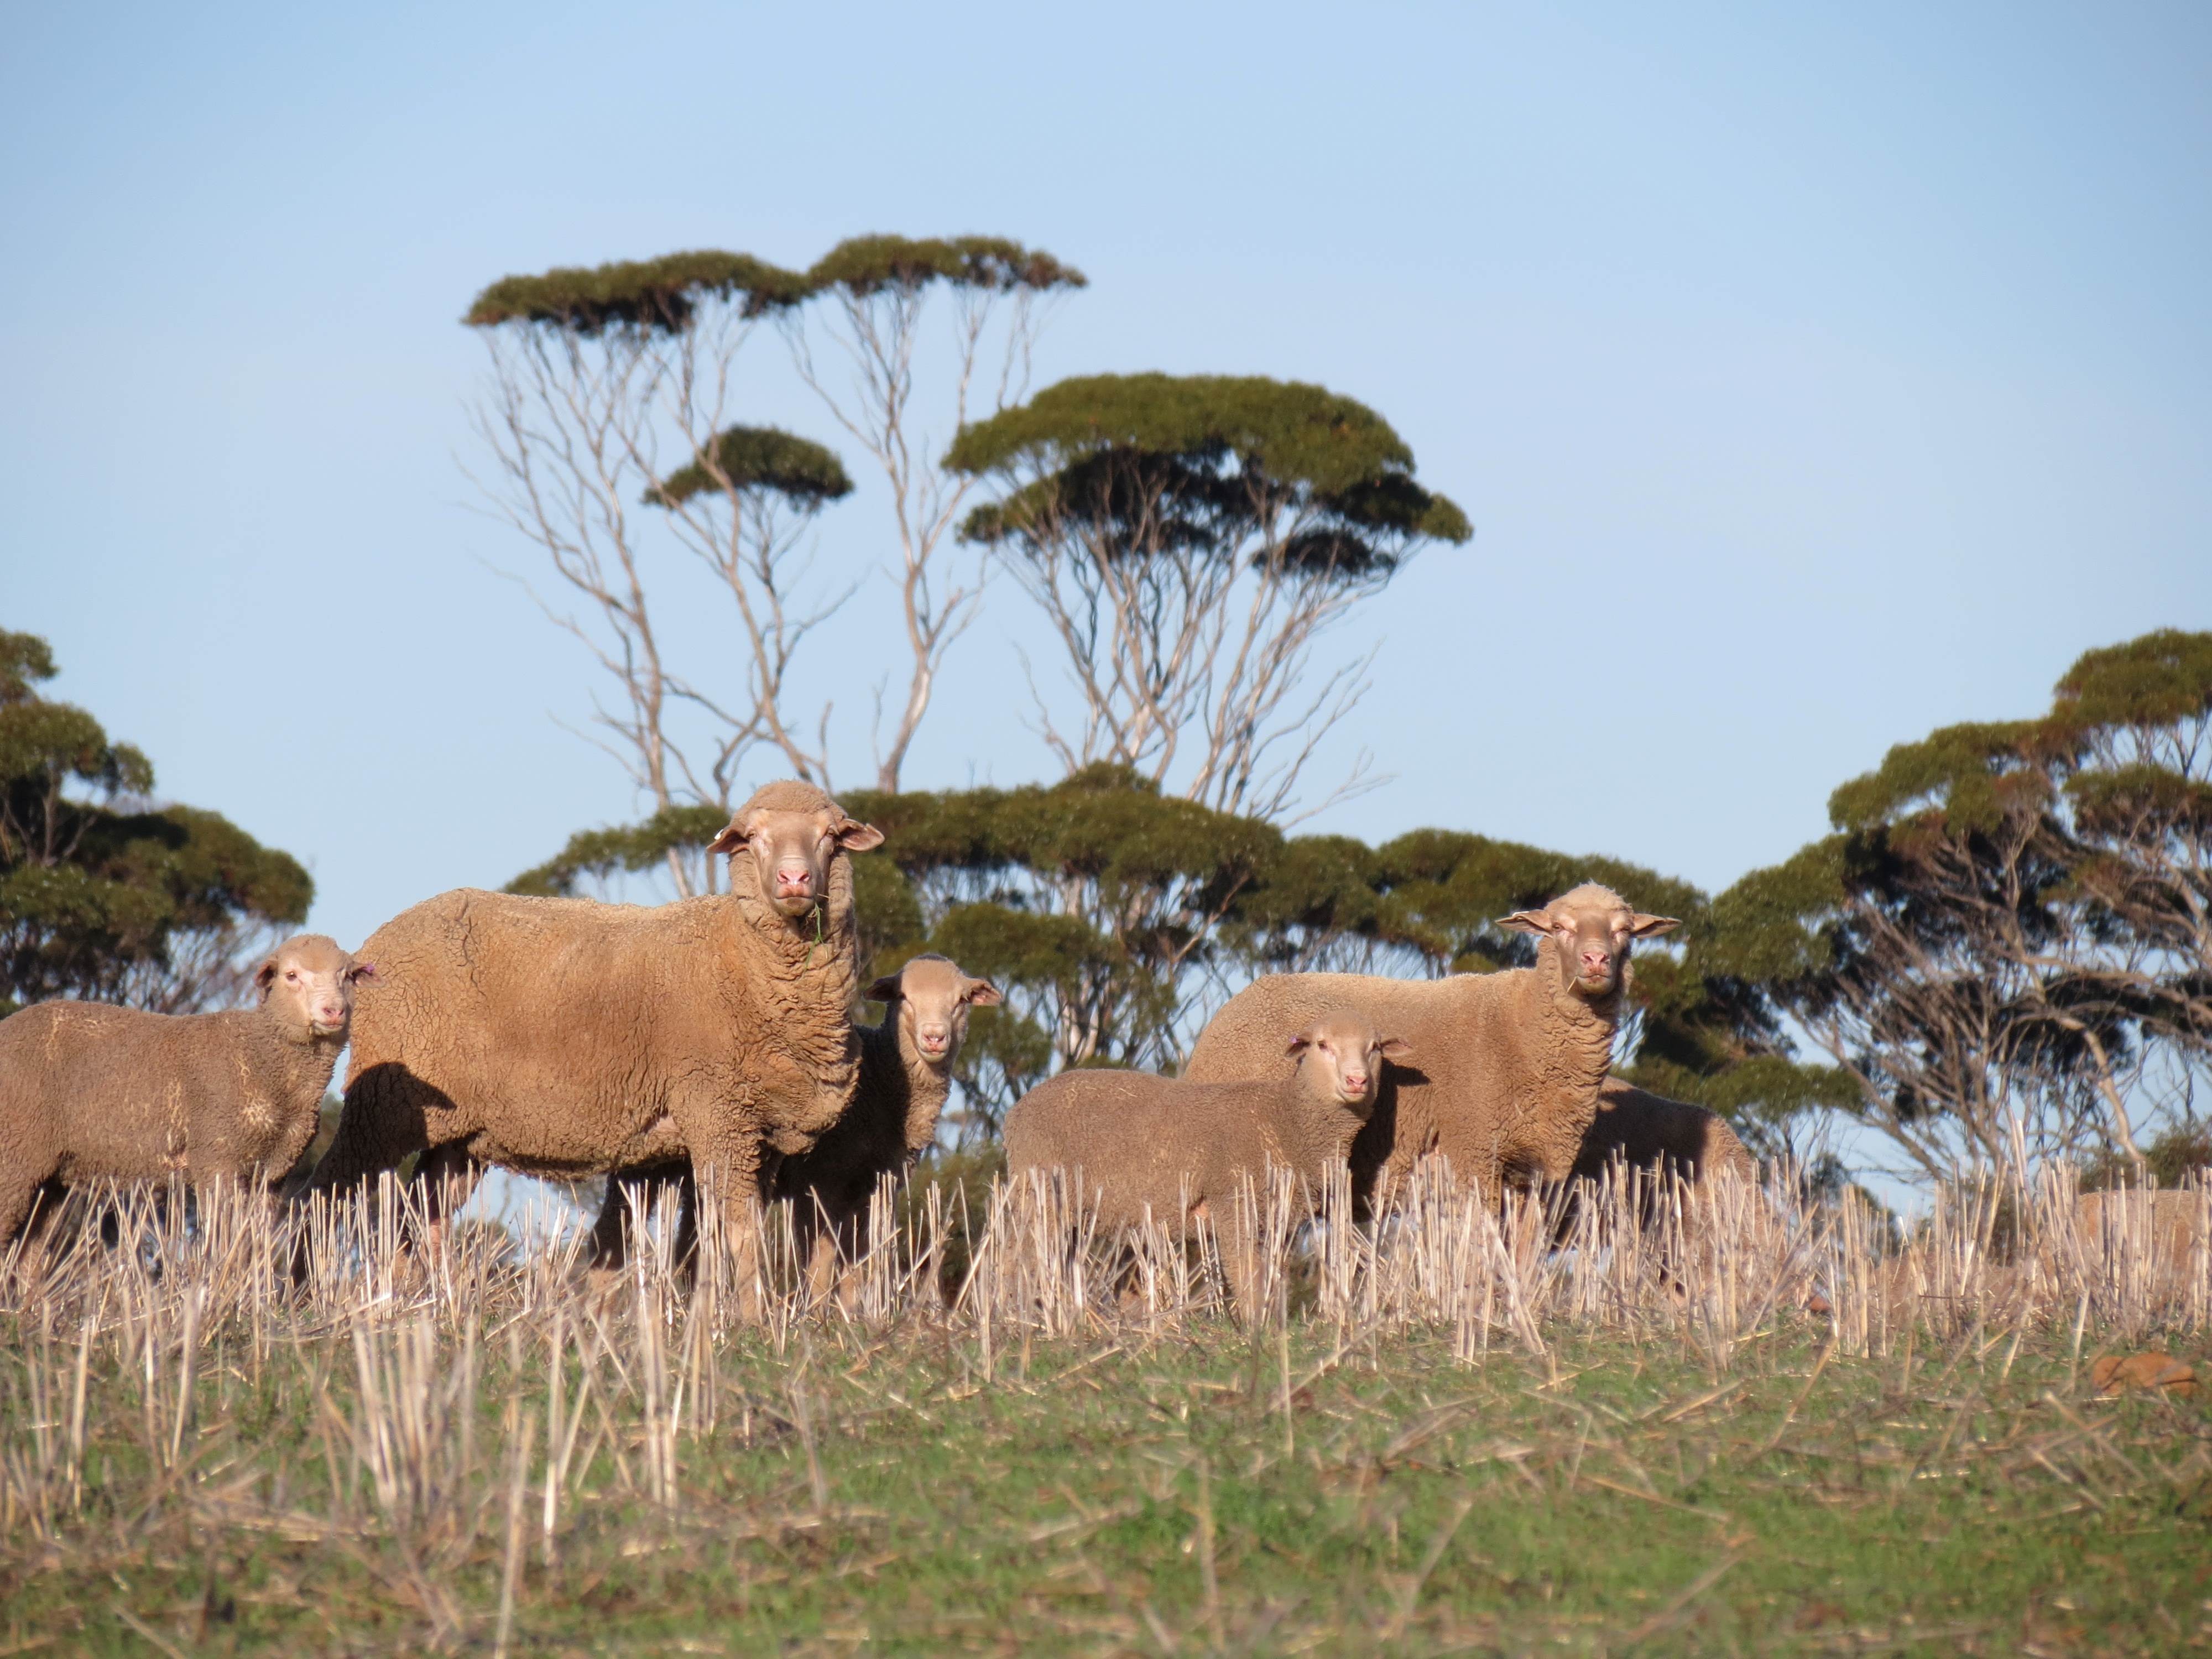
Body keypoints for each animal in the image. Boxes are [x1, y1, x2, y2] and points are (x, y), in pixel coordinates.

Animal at [0, 934, 370, 1259]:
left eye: (346, 976)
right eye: (292, 975)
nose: (333, 1011)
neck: (262, 1057)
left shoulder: (272, 1174)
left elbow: (253, 1243)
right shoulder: (216, 1155)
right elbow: (224, 1236)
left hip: (49, 1176)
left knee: (28, 1253)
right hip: (15, 1153)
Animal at [303, 780, 883, 1308]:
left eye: (829, 836)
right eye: (755, 837)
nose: (794, 879)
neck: (744, 960)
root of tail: (374, 945)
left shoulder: (759, 1135)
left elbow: (702, 1240)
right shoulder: (721, 1117)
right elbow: (740, 1235)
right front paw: (748, 1320)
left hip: (460, 1135)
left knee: (419, 1217)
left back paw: (416, 1305)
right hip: (384, 1105)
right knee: (321, 1193)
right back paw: (304, 1291)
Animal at [590, 953, 1002, 1301]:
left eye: (961, 1001)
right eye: (904, 998)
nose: (935, 1037)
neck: (883, 1082)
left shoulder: (873, 1189)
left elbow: (857, 1264)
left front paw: (853, 1318)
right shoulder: (818, 1183)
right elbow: (820, 1263)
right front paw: (816, 1316)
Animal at [1004, 1009, 1408, 1311]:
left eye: (1375, 1048)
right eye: (1323, 1045)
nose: (1356, 1081)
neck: (1286, 1117)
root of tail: (1017, 1111)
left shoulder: (1279, 1220)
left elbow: (1272, 1278)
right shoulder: (1235, 1205)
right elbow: (1247, 1277)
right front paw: (1256, 1331)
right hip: (1038, 1193)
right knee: (1017, 1258)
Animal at [1180, 884, 1678, 1211]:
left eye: (1624, 931)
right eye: (1559, 927)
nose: (1596, 960)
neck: (1522, 1025)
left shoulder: (1548, 1165)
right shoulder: (1474, 1150)